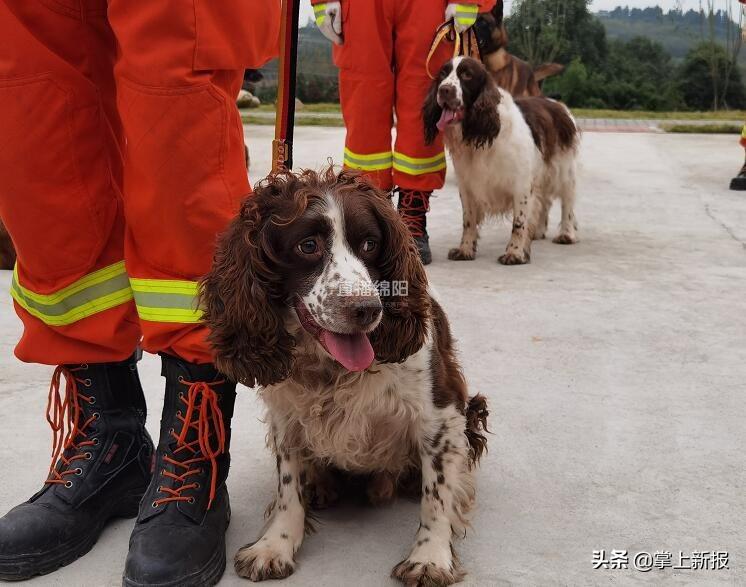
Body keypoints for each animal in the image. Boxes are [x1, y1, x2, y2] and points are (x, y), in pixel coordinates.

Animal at [201, 168, 488, 584]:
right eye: (307, 246)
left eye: (370, 244)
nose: (367, 309)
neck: (332, 369)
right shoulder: (286, 415)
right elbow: (287, 486)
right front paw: (276, 544)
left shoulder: (442, 413)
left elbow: (436, 495)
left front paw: (430, 557)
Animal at [424, 56, 576, 264]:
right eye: (442, 73)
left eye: (467, 75)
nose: (444, 90)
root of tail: (558, 105)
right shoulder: (467, 185)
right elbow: (468, 220)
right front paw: (465, 250)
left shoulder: (521, 183)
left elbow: (519, 222)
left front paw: (515, 253)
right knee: (544, 201)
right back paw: (538, 231)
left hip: (563, 169)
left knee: (567, 200)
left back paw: (566, 234)